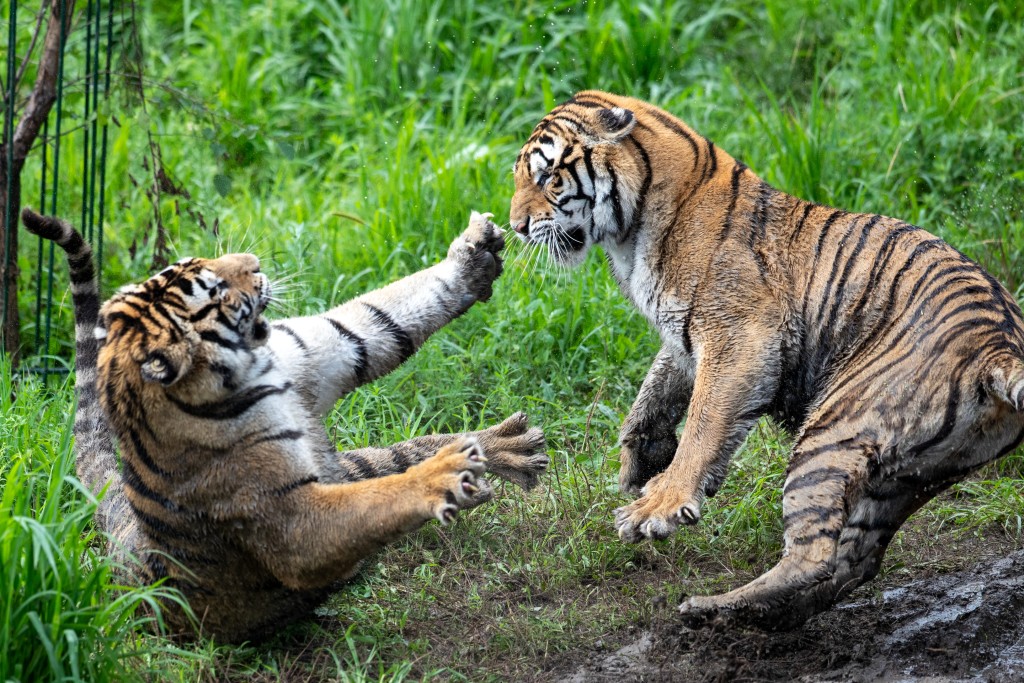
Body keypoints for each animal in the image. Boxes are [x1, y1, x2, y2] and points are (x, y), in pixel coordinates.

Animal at [19, 206, 548, 643]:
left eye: (194, 262)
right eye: (215, 290)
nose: (254, 260)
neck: (257, 368)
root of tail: (125, 531)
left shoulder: (319, 350)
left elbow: (377, 317)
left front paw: (474, 254)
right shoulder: (287, 519)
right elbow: (381, 500)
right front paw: (440, 477)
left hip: (354, 461)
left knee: (400, 455)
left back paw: (508, 446)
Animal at [509, 92, 1024, 630]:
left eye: (548, 177)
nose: (516, 227)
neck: (631, 234)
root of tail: (1000, 345)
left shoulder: (740, 334)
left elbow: (704, 423)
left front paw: (660, 504)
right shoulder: (684, 335)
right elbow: (654, 390)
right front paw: (640, 457)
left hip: (831, 434)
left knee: (814, 555)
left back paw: (711, 609)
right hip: (905, 479)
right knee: (853, 562)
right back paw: (749, 615)